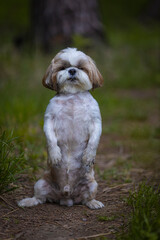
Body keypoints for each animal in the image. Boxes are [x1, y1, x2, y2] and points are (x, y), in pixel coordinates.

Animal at [18, 47, 104, 209]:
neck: (73, 97)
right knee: (40, 197)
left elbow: (94, 141)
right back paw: (29, 201)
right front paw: (55, 154)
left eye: (81, 67)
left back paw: (93, 202)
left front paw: (89, 156)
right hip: (41, 184)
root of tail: (66, 195)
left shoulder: (96, 120)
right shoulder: (49, 118)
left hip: (92, 185)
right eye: (63, 67)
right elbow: (51, 139)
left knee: (86, 199)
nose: (72, 70)